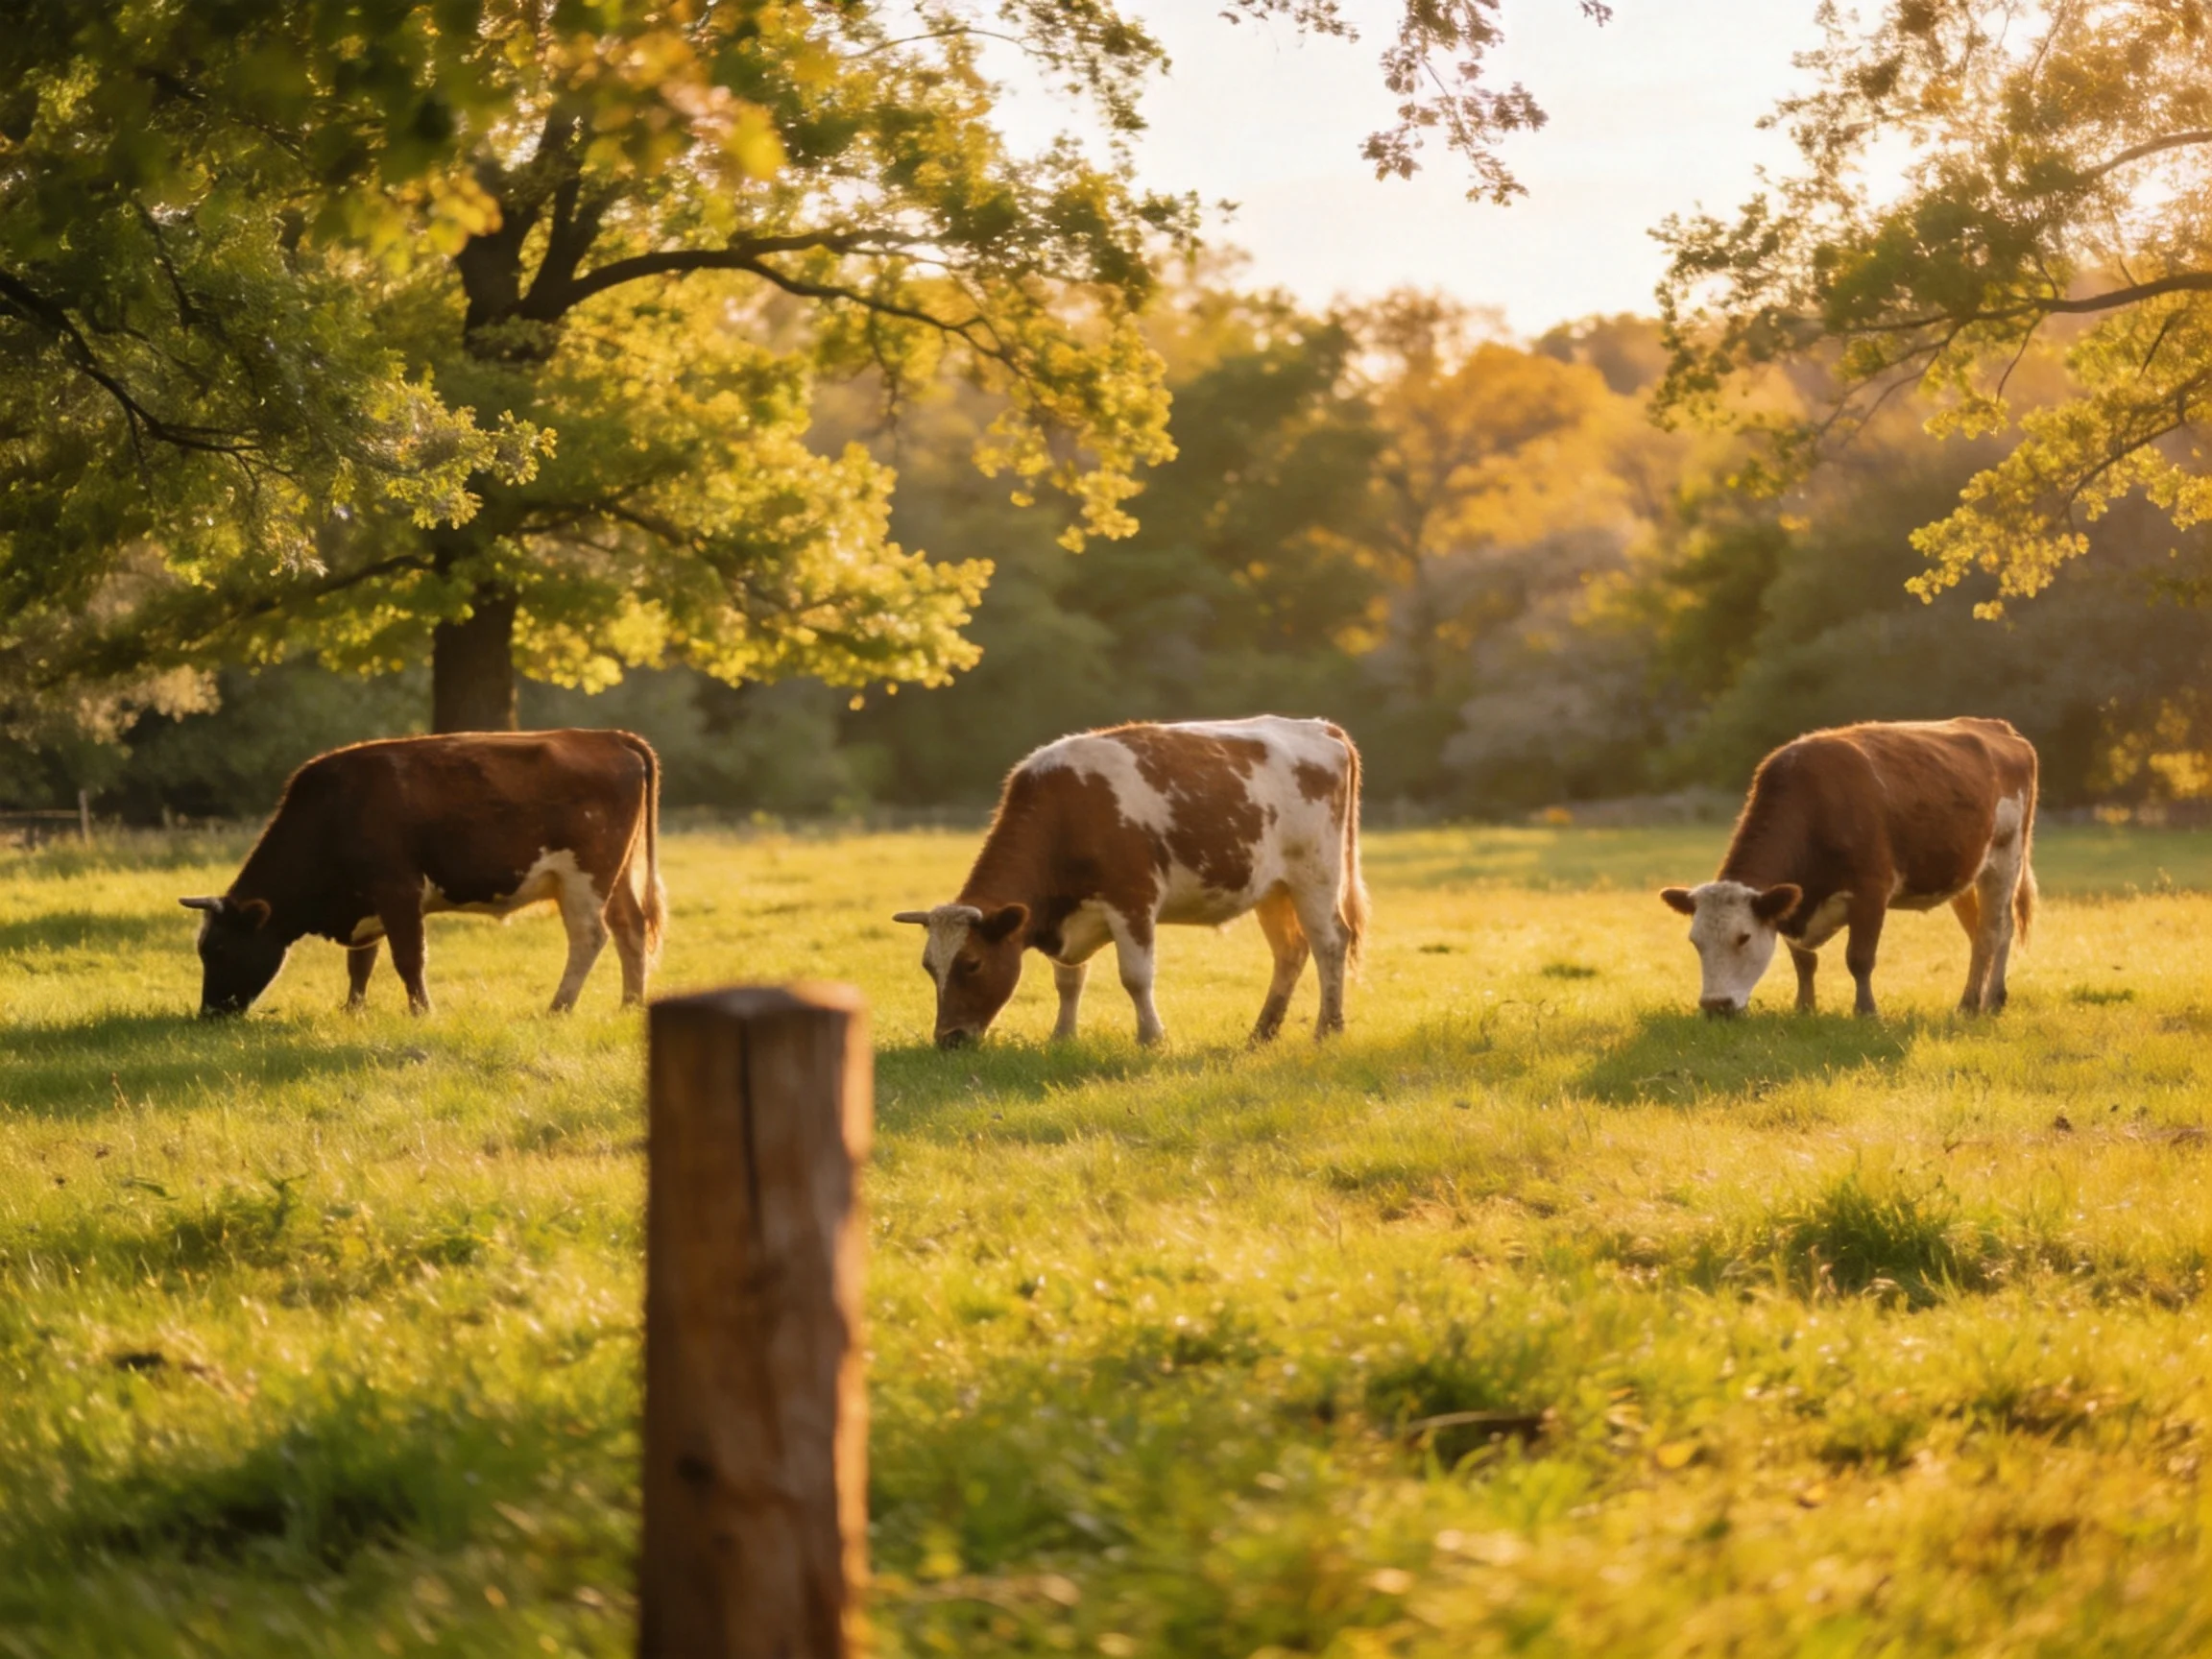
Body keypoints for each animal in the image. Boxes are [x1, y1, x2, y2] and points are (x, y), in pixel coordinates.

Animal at [180, 729, 664, 1017]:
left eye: (218, 949)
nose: (209, 1015)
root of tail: (604, 737)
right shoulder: (368, 903)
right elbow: (361, 963)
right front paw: (353, 1010)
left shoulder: (398, 890)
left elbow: (408, 957)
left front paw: (421, 1011)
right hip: (617, 876)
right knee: (631, 928)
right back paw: (630, 1003)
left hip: (585, 878)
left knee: (590, 936)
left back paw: (559, 1006)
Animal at [893, 716, 1367, 1049]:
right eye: (928, 966)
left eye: (972, 963)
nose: (948, 1040)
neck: (1067, 811)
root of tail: (1319, 727)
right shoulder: (1068, 914)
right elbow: (1069, 981)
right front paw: (1062, 1037)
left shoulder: (1133, 901)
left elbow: (1136, 976)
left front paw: (1151, 1037)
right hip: (1273, 889)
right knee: (1290, 951)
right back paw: (1262, 1032)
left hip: (1316, 876)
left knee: (1330, 943)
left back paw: (1328, 1029)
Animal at [1659, 718, 2038, 1018]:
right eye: (1695, 941)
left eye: (1743, 937)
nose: (1715, 1005)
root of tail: (1997, 727)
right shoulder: (1794, 901)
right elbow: (1805, 962)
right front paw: (1805, 1008)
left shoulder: (1871, 891)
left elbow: (1859, 958)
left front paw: (1866, 1011)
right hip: (1964, 872)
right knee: (1983, 931)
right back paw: (1988, 999)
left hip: (2006, 858)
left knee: (1993, 931)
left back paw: (1976, 1002)